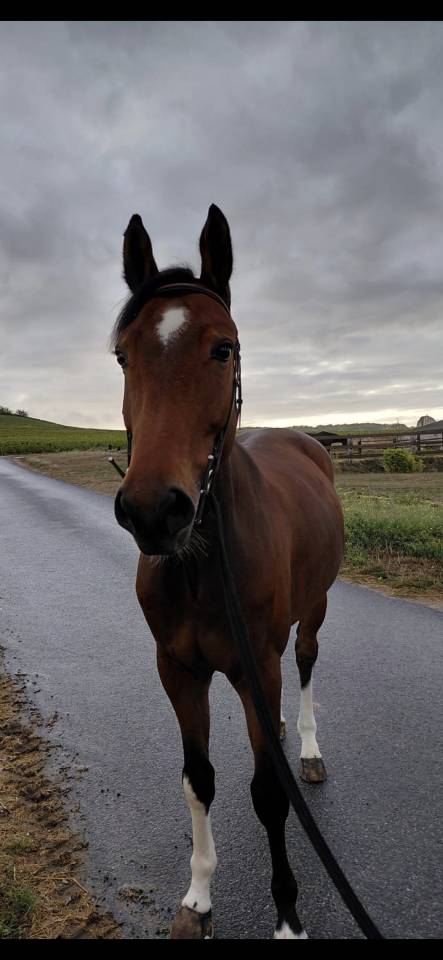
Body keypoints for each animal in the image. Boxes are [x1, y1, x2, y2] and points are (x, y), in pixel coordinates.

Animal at [112, 204, 344, 939]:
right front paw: (198, 897)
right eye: (123, 354)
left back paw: (305, 745)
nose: (153, 510)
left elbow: (268, 795)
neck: (201, 563)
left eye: (224, 349)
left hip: (311, 613)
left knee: (305, 662)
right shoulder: (178, 669)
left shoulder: (253, 666)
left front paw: (288, 917)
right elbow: (199, 779)